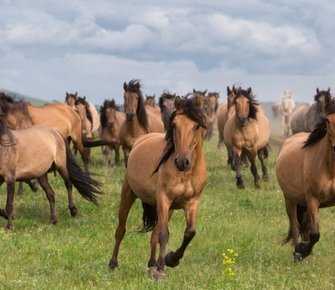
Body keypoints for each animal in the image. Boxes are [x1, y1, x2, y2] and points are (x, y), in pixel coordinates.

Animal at [109, 95, 207, 278]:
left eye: (196, 126)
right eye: (174, 125)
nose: (182, 162)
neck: (185, 174)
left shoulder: (191, 202)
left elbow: (189, 232)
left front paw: (171, 259)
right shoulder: (164, 199)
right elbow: (164, 234)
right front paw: (162, 268)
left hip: (168, 209)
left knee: (153, 234)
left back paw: (151, 265)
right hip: (128, 194)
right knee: (121, 230)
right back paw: (113, 263)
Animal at [276, 96, 335, 262]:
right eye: (327, 120)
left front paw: (306, 251)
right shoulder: (313, 200)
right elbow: (315, 234)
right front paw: (301, 251)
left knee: (305, 226)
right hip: (290, 200)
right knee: (296, 226)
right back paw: (297, 252)